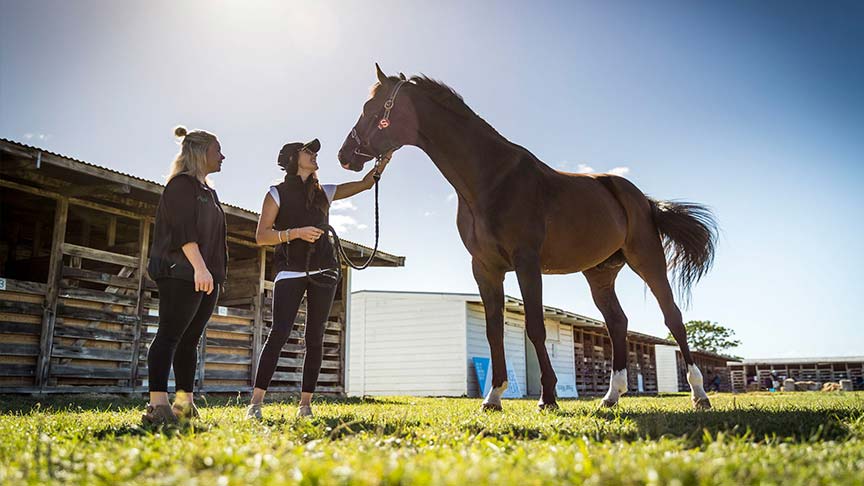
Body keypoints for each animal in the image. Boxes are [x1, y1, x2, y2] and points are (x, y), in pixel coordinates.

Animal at [340, 65, 720, 410]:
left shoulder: (526, 262)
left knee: (673, 318)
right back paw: (611, 397)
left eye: (372, 109)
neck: (491, 180)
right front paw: (493, 398)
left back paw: (699, 394)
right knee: (617, 323)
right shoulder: (485, 268)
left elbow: (535, 326)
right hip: (600, 273)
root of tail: (642, 199)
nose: (345, 155)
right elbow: (493, 330)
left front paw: (547, 397)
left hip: (647, 260)